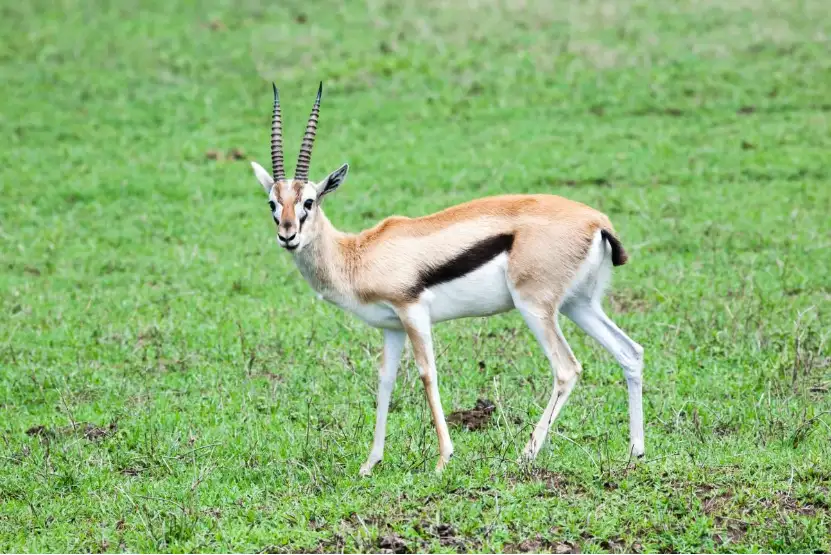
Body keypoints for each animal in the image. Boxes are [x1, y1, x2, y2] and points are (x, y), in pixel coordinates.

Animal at [250, 83, 645, 476]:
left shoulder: (413, 313)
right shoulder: (392, 327)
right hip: (579, 305)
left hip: (535, 307)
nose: (288, 235)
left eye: (309, 202)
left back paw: (526, 455)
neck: (357, 254)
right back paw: (635, 452)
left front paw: (443, 459)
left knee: (566, 369)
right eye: (272, 203)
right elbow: (385, 381)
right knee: (630, 352)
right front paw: (370, 463)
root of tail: (597, 222)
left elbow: (427, 373)